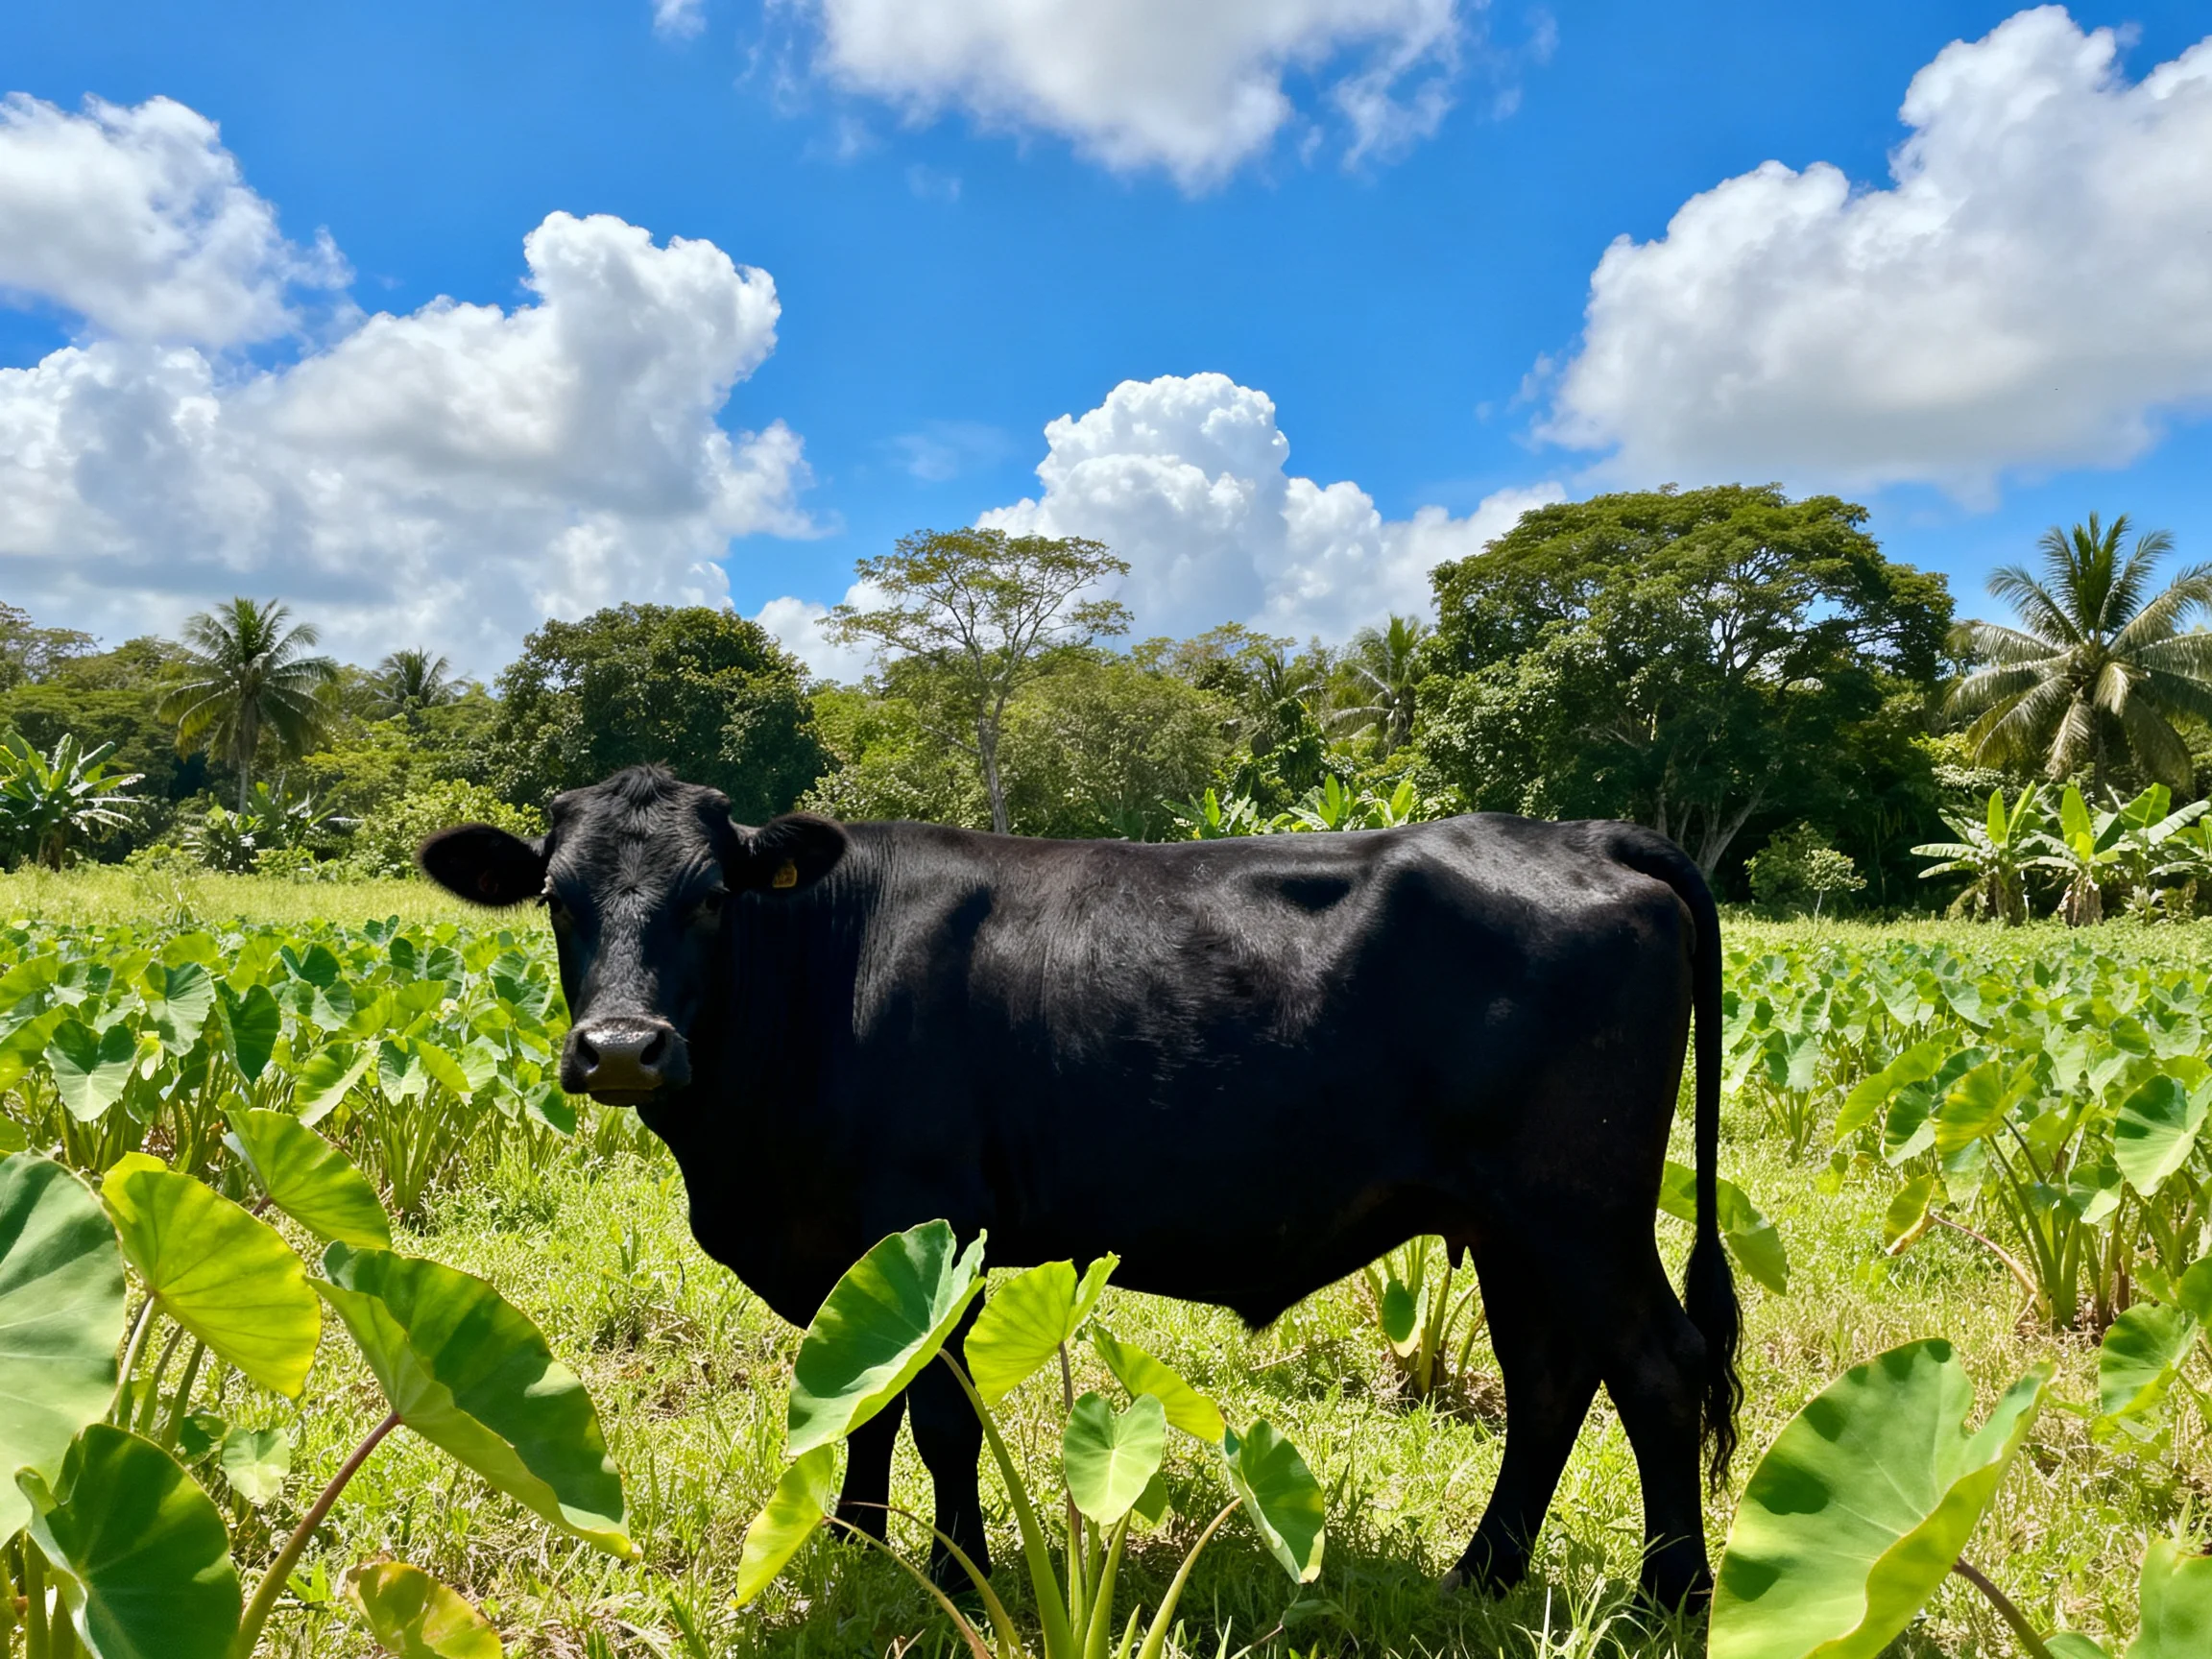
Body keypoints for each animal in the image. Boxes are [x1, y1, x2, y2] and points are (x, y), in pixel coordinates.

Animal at [419, 765, 1740, 1609]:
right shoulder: (865, 1257)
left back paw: (1668, 1600)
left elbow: (942, 1418)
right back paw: (1483, 1578)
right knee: (1551, 1382)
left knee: (1658, 1373)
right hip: (1515, 1228)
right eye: (558, 899)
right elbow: (866, 1394)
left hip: (1581, 1215)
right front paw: (855, 1542)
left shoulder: (932, 1224)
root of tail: (1585, 835)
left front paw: (956, 1579)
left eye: (710, 895)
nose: (622, 1049)